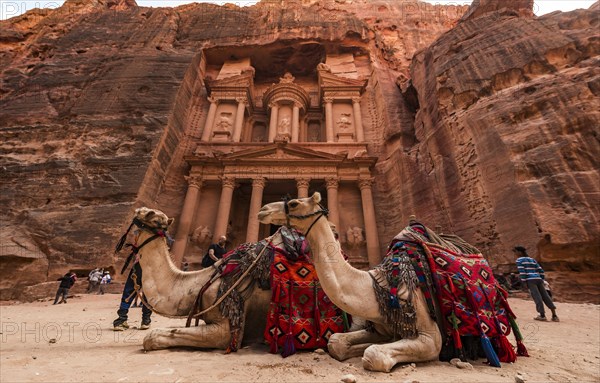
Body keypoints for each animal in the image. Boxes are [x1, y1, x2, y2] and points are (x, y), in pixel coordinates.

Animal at [255, 194, 442, 374]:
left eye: (294, 203)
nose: (263, 209)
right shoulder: (380, 327)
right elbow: (335, 342)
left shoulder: (429, 336)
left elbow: (373, 353)